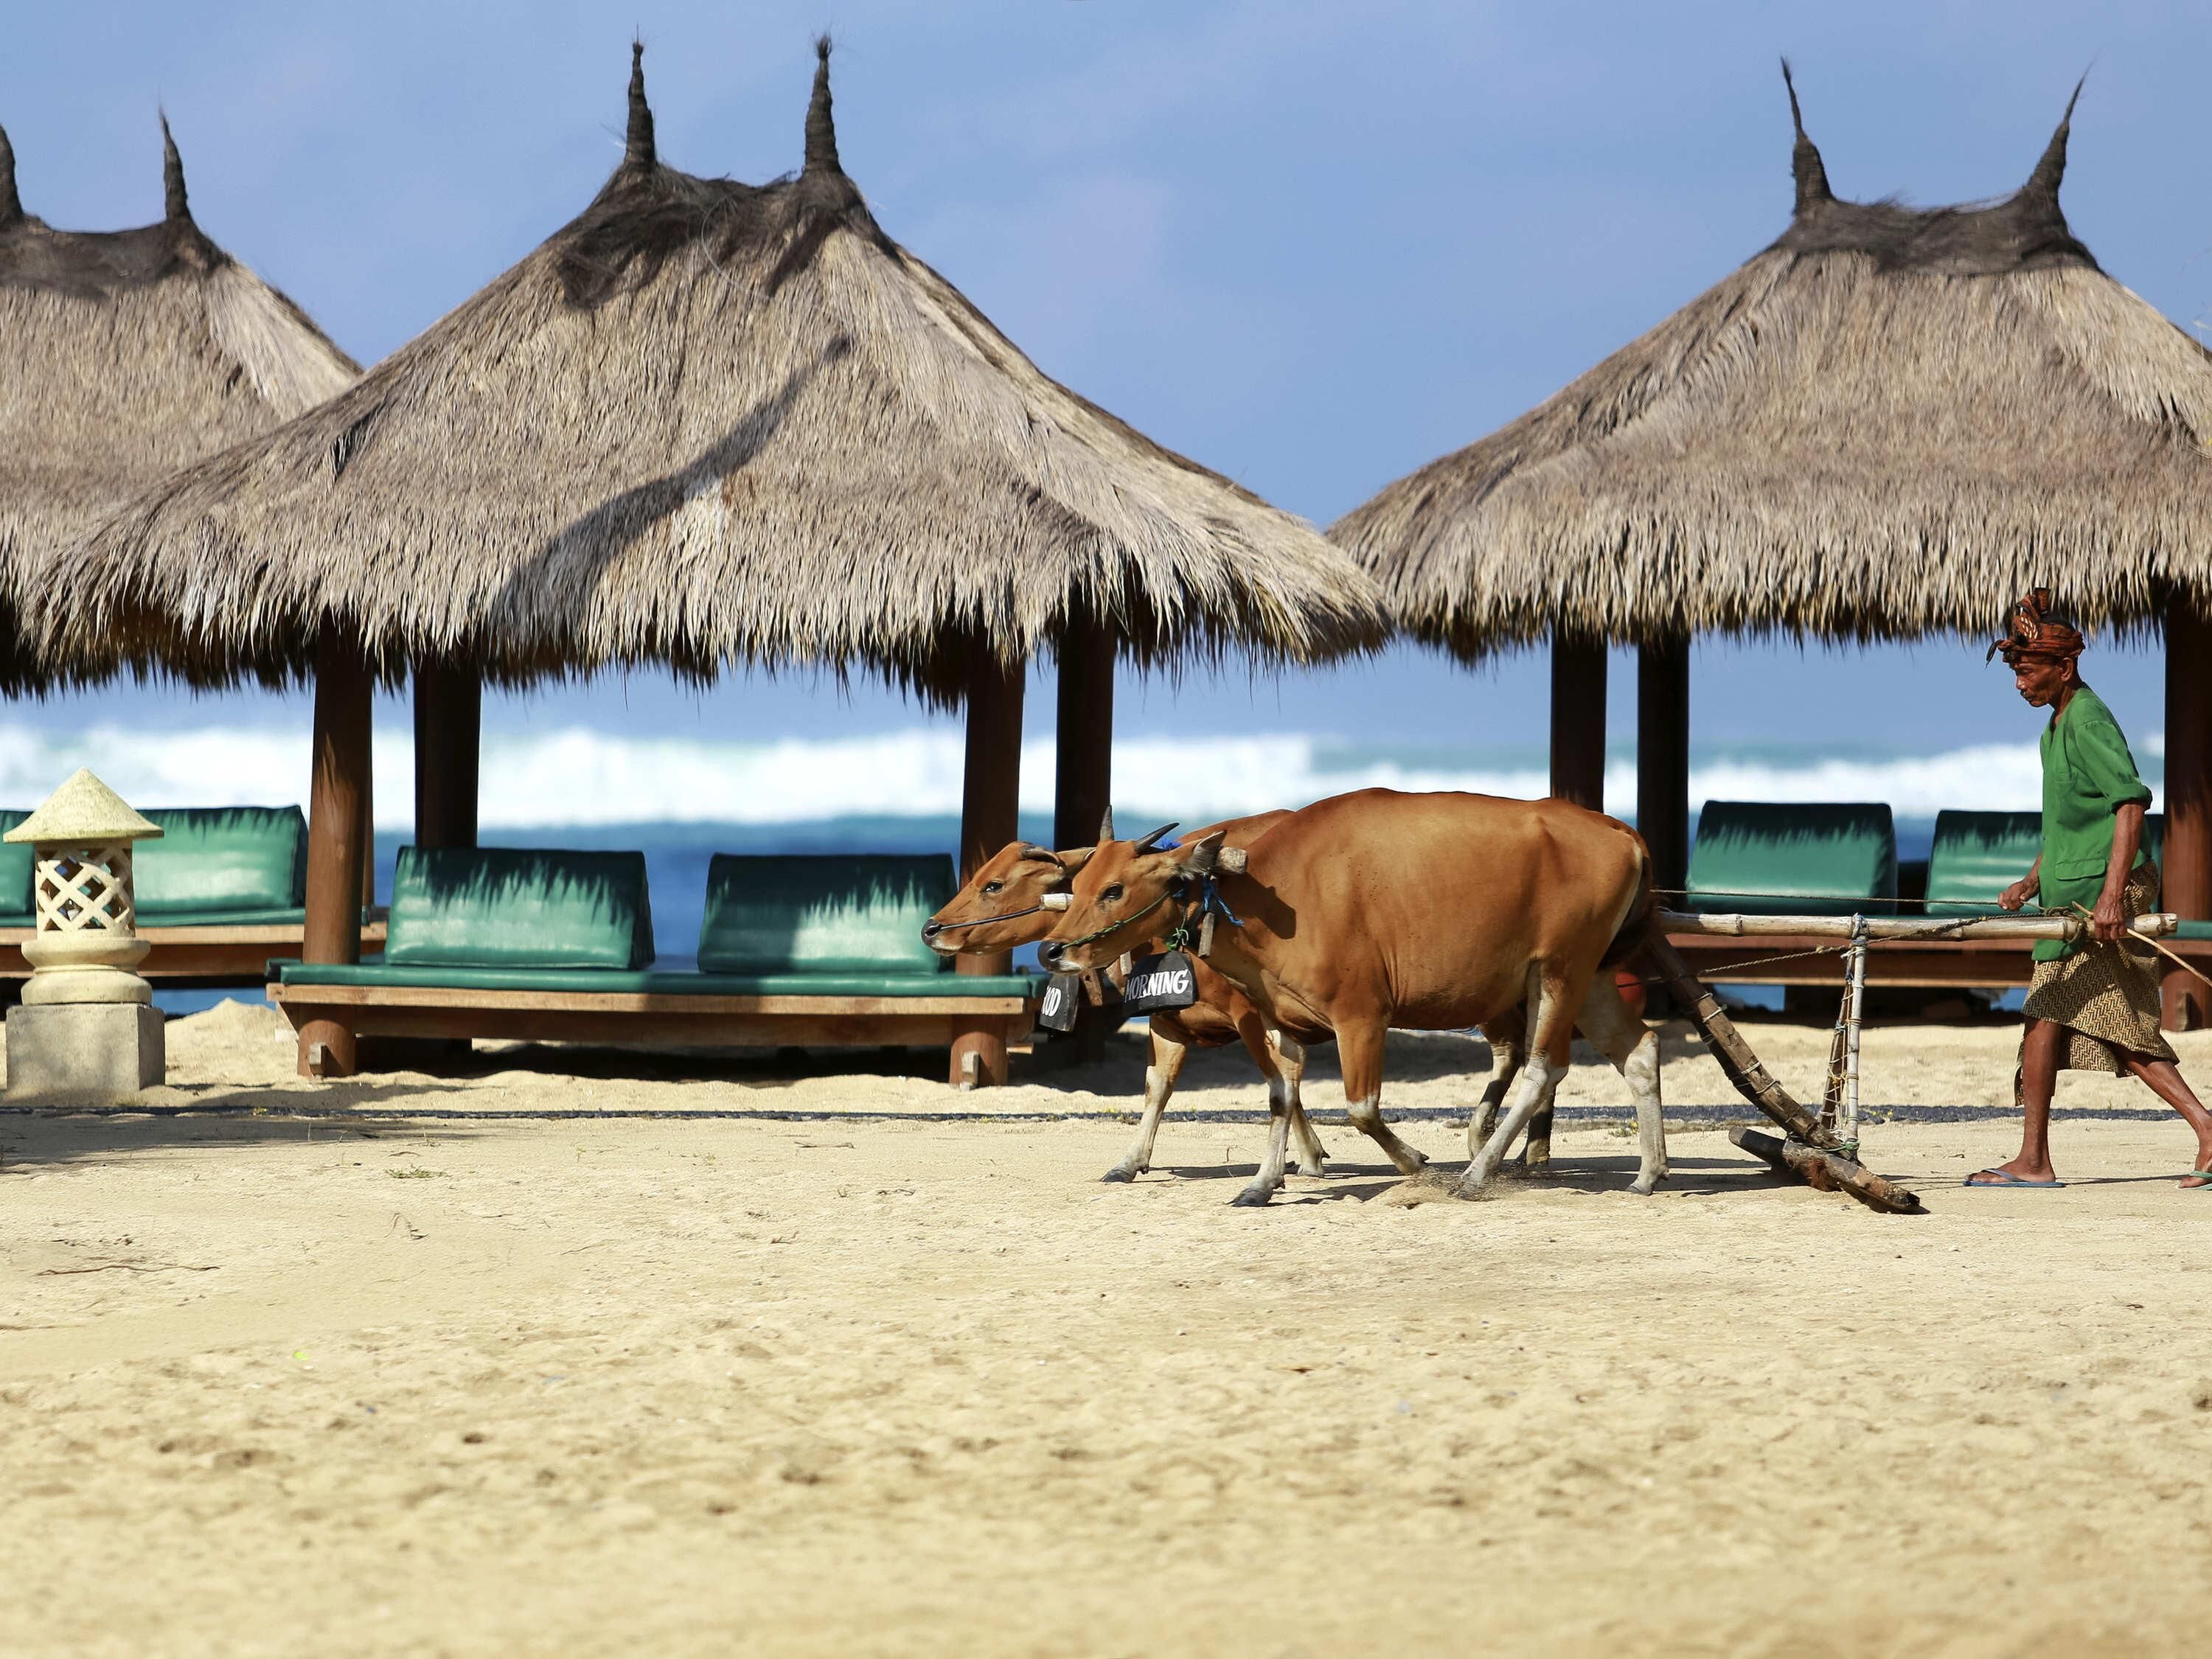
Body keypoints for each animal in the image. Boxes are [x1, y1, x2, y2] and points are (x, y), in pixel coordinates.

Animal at [1037, 788, 1664, 1205]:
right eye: (1080, 882)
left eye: (1114, 890)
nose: (1050, 950)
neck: (1279, 895)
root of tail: (1620, 832)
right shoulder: (1280, 1021)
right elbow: (1280, 1096)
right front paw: (1262, 1183)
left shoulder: (1361, 1017)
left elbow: (1361, 1109)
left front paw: (1414, 1161)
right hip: (1591, 977)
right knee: (1639, 1051)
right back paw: (1649, 1172)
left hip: (1558, 971)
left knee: (1543, 1067)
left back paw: (1475, 1173)